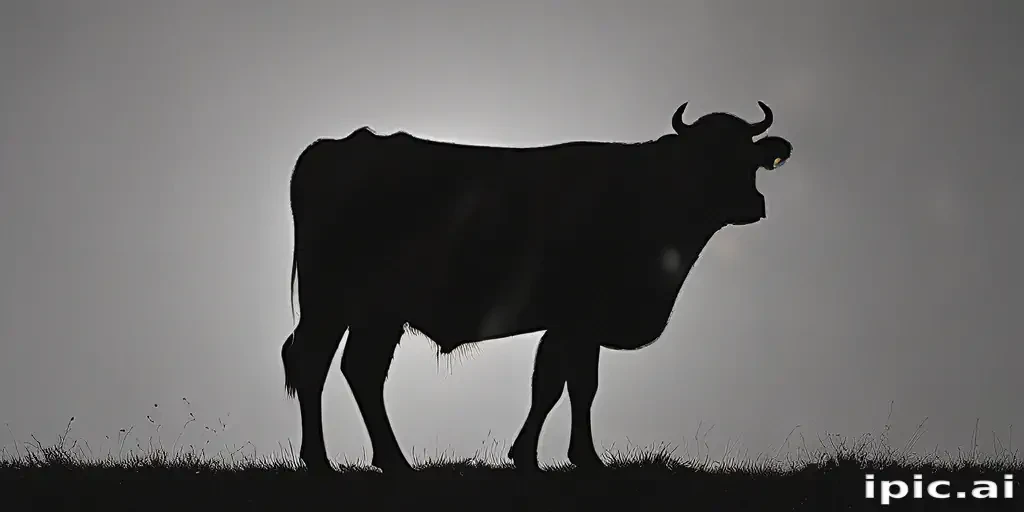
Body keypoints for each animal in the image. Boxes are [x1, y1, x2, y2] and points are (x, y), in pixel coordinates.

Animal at [280, 101, 793, 474]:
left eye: (750, 159)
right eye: (705, 158)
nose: (753, 204)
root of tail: (333, 147)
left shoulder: (571, 324)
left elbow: (562, 384)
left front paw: (548, 456)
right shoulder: (579, 318)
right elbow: (567, 385)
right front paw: (567, 458)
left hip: (374, 314)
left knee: (356, 370)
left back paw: (387, 461)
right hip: (332, 303)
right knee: (314, 362)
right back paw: (324, 462)